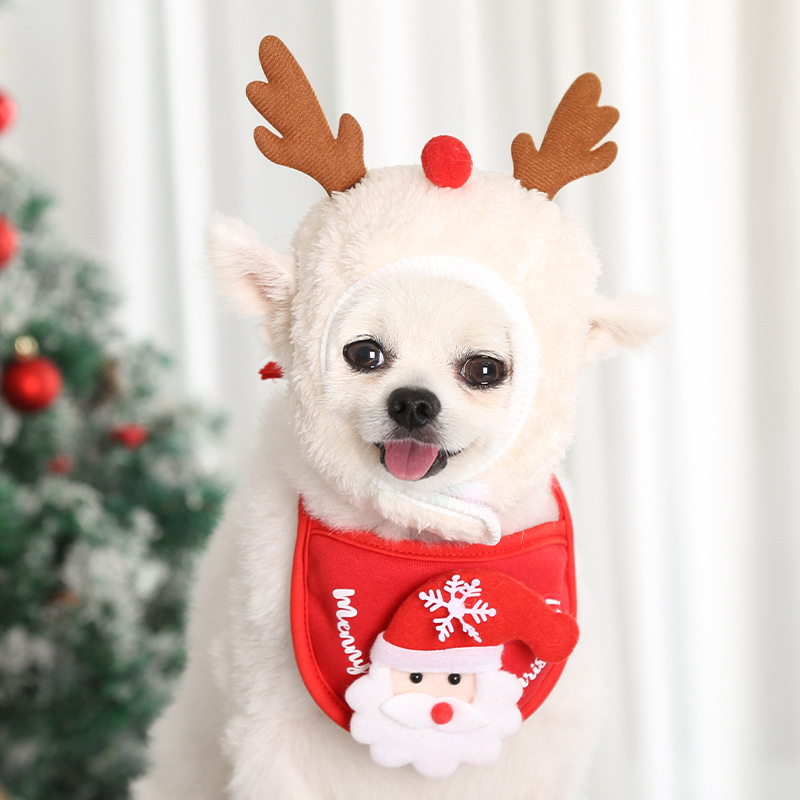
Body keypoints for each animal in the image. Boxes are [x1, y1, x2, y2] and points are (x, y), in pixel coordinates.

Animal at [133, 37, 664, 800]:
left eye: (483, 370)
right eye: (365, 353)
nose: (413, 401)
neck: (423, 540)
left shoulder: (537, 752)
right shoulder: (273, 734)